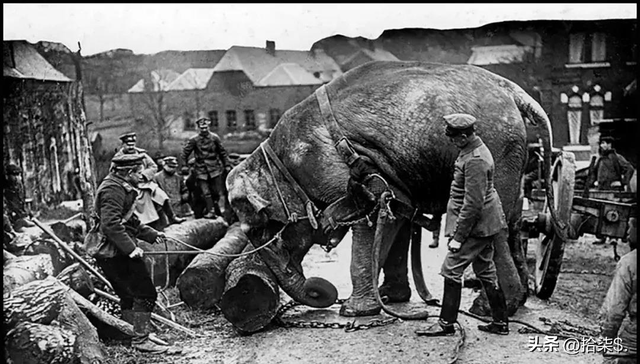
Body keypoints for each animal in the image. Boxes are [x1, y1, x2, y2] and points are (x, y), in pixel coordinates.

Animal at [226, 61, 556, 318]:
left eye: (261, 229)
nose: (320, 292)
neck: (273, 158)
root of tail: (514, 91)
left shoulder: (338, 169)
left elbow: (369, 215)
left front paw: (355, 311)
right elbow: (398, 211)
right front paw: (388, 297)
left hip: (496, 148)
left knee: (492, 224)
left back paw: (489, 309)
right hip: (512, 157)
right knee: (513, 220)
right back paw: (516, 302)